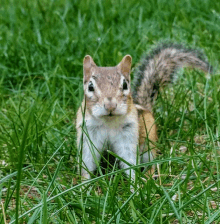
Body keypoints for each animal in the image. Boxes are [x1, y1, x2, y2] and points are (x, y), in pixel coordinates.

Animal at [75, 43, 211, 181]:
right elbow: (87, 160)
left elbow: (129, 160)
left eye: (125, 85)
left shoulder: (128, 135)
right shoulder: (88, 135)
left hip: (148, 143)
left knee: (151, 161)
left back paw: (149, 174)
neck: (109, 121)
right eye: (90, 87)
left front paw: (133, 183)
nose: (110, 106)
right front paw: (84, 183)